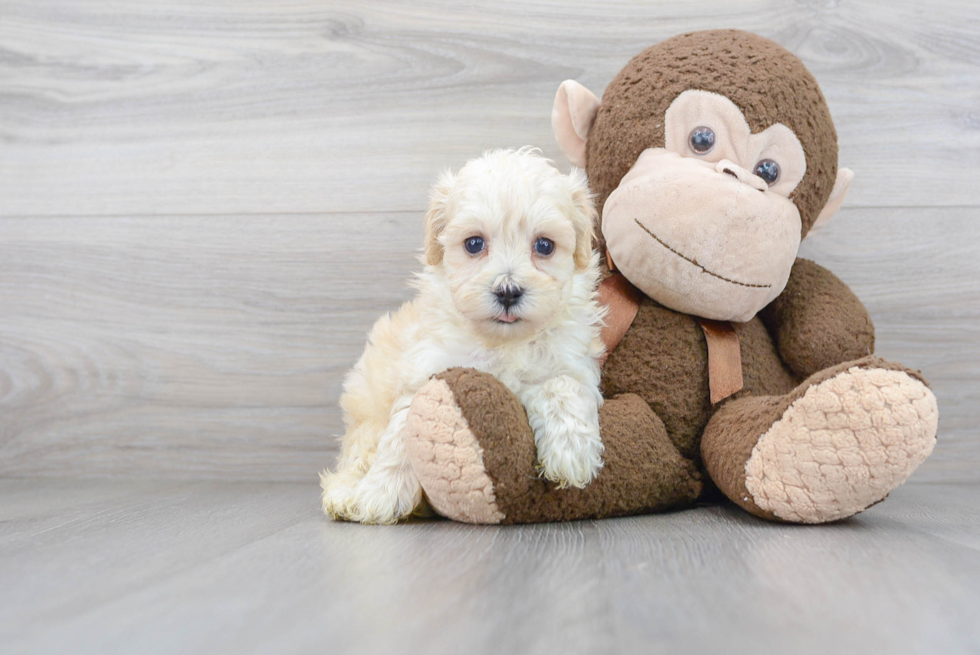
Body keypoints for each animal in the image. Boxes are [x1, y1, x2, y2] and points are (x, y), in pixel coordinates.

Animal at [322, 150, 604, 528]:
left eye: (544, 245)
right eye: (474, 244)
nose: (508, 291)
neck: (502, 341)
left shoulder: (571, 361)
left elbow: (563, 388)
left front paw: (571, 453)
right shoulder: (427, 370)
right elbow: (402, 434)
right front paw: (381, 495)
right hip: (366, 412)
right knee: (358, 455)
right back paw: (346, 494)